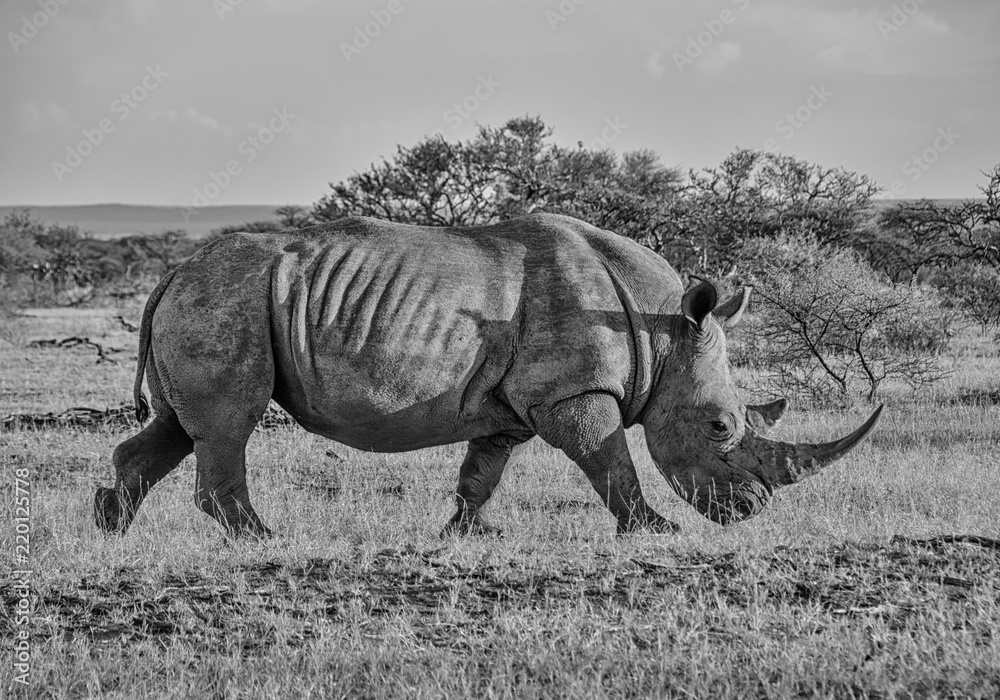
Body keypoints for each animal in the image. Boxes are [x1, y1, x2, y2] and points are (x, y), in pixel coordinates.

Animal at [94, 213, 881, 538]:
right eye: (719, 426)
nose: (748, 511)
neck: (662, 334)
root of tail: (169, 274)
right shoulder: (573, 393)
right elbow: (611, 462)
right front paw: (655, 530)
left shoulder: (513, 403)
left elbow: (484, 468)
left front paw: (466, 535)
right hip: (225, 298)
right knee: (230, 423)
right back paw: (261, 539)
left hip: (213, 299)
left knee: (178, 425)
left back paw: (109, 529)